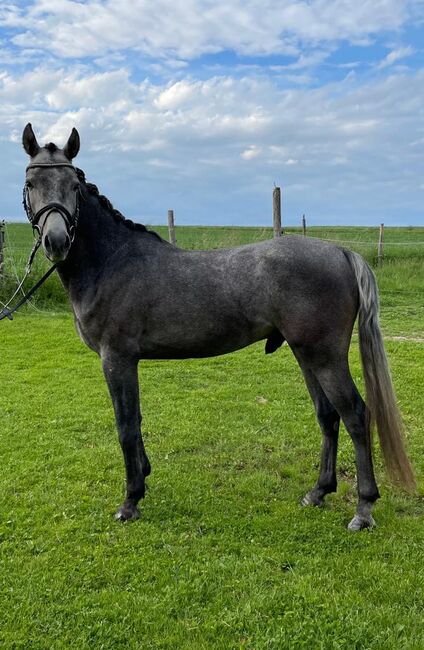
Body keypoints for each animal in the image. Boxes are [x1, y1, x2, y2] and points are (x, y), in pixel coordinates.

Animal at [19, 124, 414, 528]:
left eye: (73, 185)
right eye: (31, 183)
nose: (56, 241)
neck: (111, 262)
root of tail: (341, 252)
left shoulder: (116, 359)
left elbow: (126, 425)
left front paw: (131, 500)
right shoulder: (125, 362)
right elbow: (137, 420)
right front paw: (143, 476)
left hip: (325, 356)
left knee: (355, 415)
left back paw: (363, 509)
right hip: (307, 355)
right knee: (328, 416)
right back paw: (318, 492)